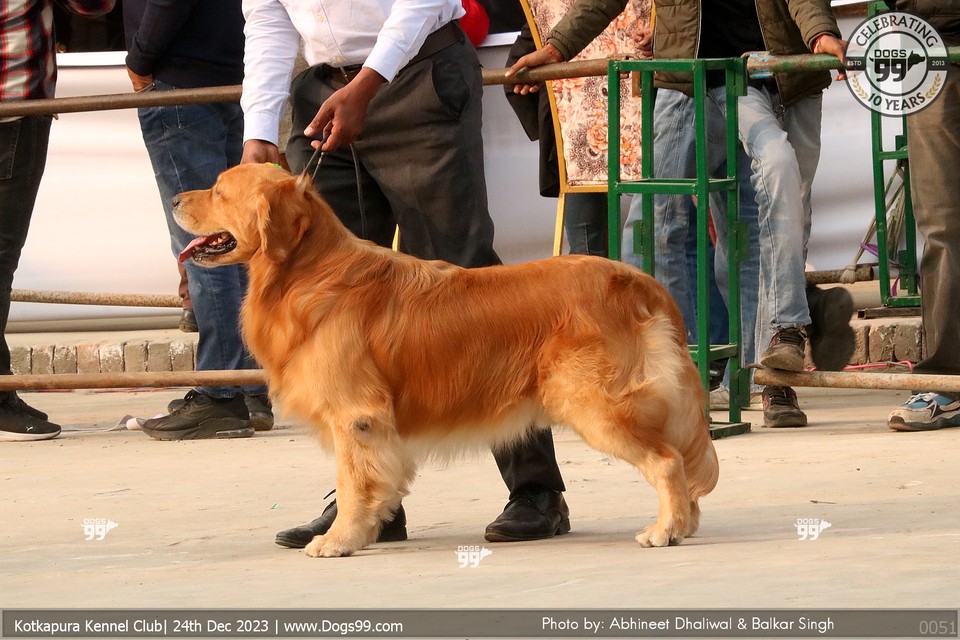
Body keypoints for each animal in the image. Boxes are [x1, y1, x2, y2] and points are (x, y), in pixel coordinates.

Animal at [173, 163, 719, 557]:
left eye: (218, 191)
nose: (176, 199)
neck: (309, 272)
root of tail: (638, 282)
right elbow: (375, 482)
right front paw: (367, 531)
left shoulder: (357, 415)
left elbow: (352, 483)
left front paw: (339, 540)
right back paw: (687, 524)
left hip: (595, 404)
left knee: (667, 460)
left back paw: (666, 529)